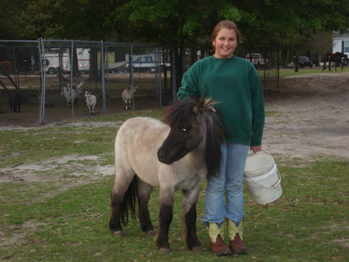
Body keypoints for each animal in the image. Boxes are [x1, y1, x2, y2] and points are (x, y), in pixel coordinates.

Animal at [109, 96, 226, 254]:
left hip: (147, 177)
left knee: (142, 198)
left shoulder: (193, 189)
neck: (188, 162)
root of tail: (128, 122)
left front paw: (194, 244)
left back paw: (148, 228)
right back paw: (116, 228)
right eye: (171, 127)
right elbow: (166, 216)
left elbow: (190, 216)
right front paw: (163, 244)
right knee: (117, 195)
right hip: (125, 172)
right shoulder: (167, 188)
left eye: (184, 128)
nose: (161, 155)